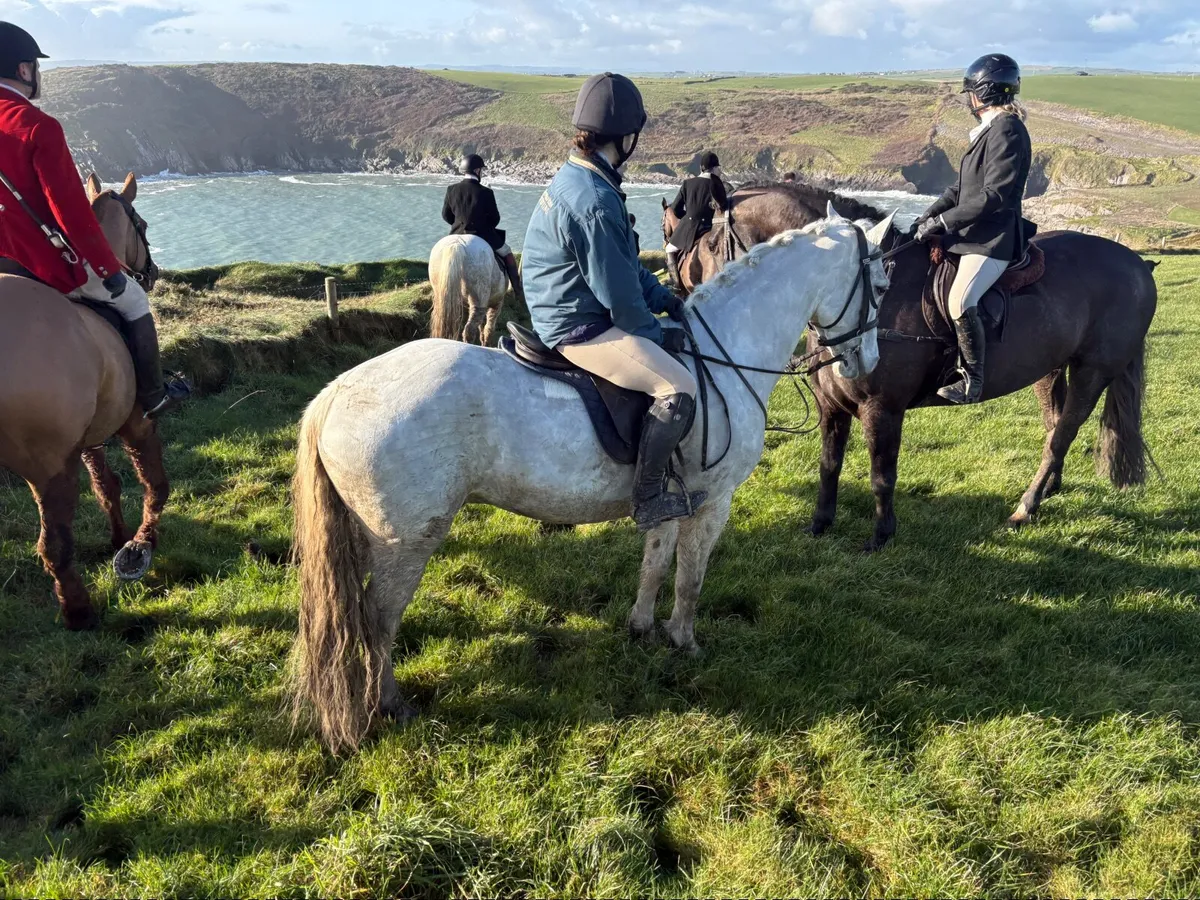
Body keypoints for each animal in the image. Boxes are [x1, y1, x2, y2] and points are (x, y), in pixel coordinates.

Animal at [0, 172, 167, 630]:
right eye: (143, 224)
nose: (150, 273)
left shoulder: (88, 438)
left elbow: (107, 485)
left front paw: (120, 536)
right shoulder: (136, 423)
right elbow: (154, 483)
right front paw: (142, 543)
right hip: (49, 466)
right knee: (54, 546)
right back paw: (79, 611)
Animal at [290, 211, 896, 753]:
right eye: (882, 285)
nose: (865, 365)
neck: (724, 357)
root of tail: (338, 392)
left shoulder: (672, 500)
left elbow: (656, 564)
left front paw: (642, 629)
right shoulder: (713, 502)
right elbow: (690, 579)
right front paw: (684, 642)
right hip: (406, 542)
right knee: (378, 620)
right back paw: (390, 705)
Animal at [805, 226, 1157, 552]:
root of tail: (1138, 264)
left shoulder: (882, 408)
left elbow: (881, 477)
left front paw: (880, 536)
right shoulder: (831, 407)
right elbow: (829, 465)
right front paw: (819, 524)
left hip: (1093, 373)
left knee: (1061, 437)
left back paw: (1025, 508)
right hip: (1051, 369)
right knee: (1054, 428)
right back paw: (1048, 489)